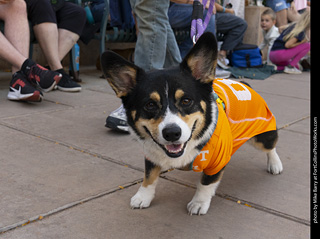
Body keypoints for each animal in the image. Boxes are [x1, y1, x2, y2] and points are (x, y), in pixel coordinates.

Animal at [100, 32, 282, 215]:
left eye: (186, 101)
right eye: (150, 105)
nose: (172, 133)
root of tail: (244, 83)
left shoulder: (217, 162)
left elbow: (206, 183)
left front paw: (199, 203)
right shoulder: (151, 156)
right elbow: (149, 176)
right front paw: (142, 196)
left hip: (262, 136)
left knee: (271, 146)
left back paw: (275, 164)